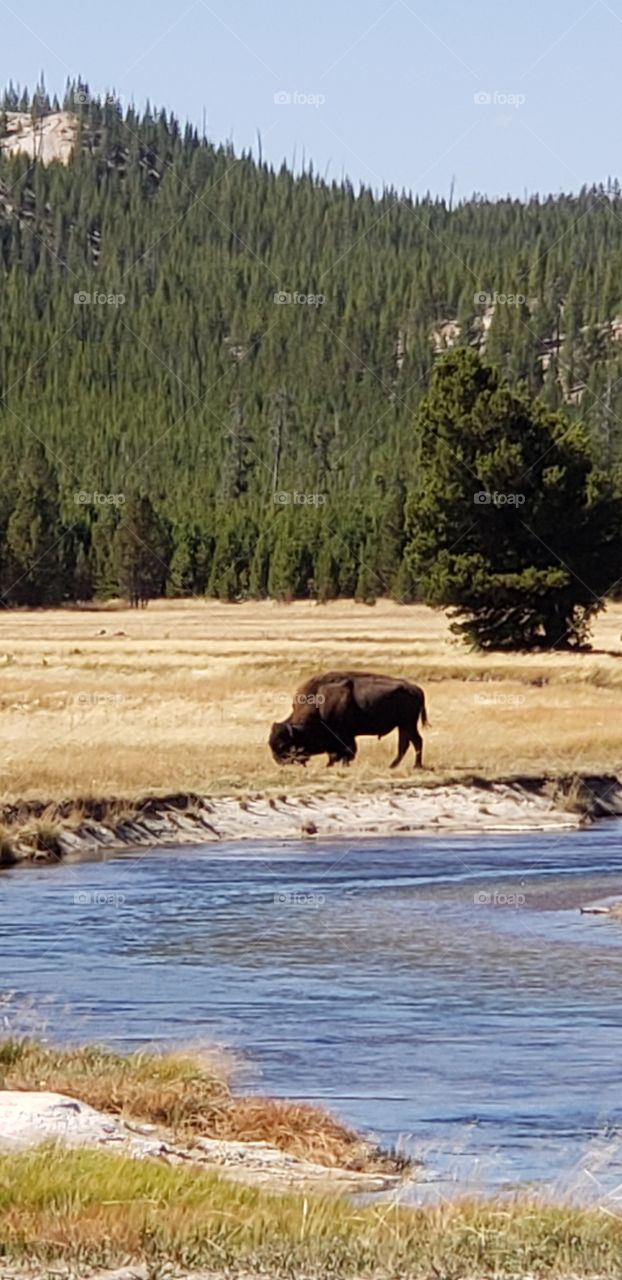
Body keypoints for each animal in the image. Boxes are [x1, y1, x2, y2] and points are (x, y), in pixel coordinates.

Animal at [269, 671, 428, 769]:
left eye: (283, 745)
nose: (279, 761)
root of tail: (415, 689)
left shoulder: (343, 736)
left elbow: (344, 752)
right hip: (403, 726)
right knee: (406, 744)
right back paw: (394, 766)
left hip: (407, 724)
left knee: (415, 741)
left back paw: (414, 766)